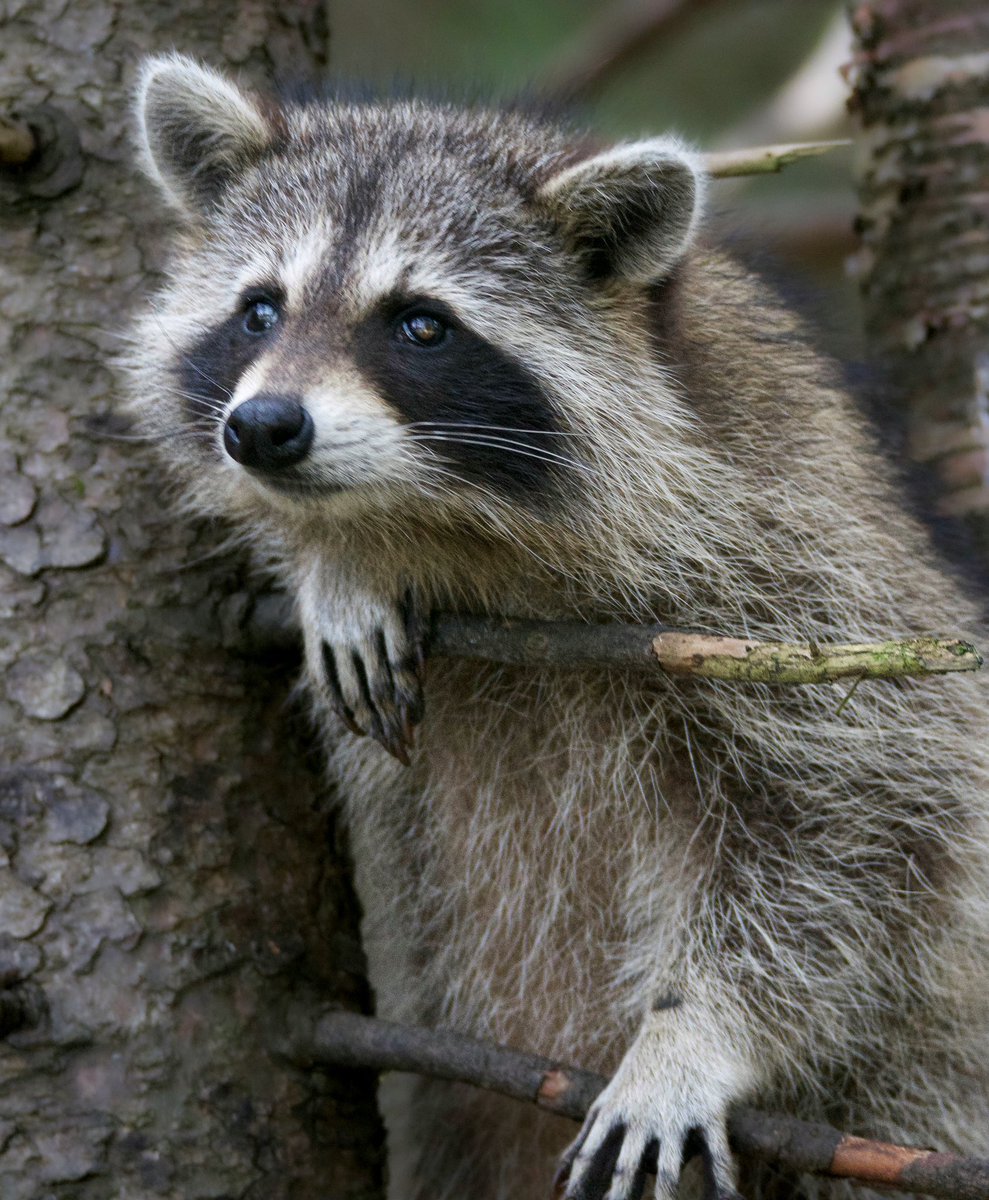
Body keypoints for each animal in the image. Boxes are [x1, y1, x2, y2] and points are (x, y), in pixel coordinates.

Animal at [131, 54, 989, 1200]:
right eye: (259, 310)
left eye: (419, 323)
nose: (263, 428)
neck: (468, 519)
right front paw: (341, 567)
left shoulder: (800, 577)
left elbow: (857, 828)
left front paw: (691, 1032)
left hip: (925, 1079)